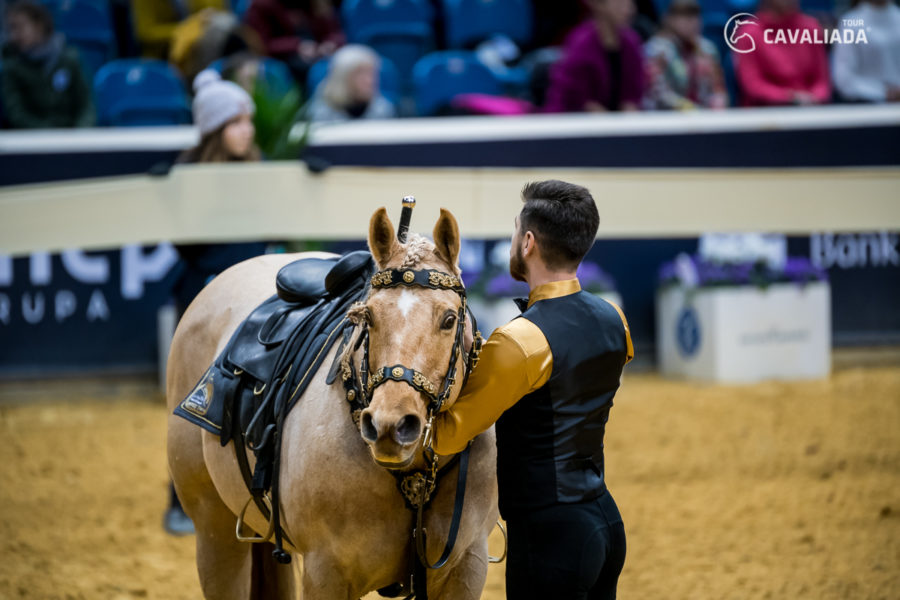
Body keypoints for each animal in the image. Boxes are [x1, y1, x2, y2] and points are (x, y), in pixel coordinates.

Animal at [167, 207, 500, 600]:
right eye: (368, 316)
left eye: (449, 319)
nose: (390, 426)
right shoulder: (326, 572)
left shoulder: (466, 566)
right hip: (214, 532)